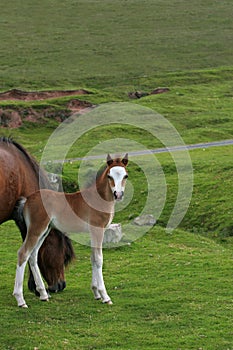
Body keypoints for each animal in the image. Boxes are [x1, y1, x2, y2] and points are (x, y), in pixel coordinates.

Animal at [12, 153, 128, 306]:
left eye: (125, 176)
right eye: (109, 176)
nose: (118, 194)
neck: (98, 199)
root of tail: (27, 200)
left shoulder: (92, 233)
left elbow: (92, 258)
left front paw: (96, 292)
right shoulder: (98, 230)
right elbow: (98, 259)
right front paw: (105, 296)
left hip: (45, 230)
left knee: (33, 256)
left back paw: (43, 294)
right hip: (36, 229)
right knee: (23, 253)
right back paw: (20, 299)